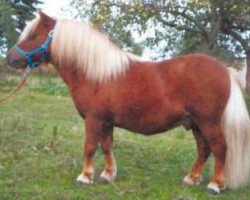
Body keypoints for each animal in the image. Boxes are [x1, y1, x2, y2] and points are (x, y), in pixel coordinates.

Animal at [5, 11, 250, 195]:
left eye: (33, 34)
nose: (9, 58)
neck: (95, 73)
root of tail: (225, 70)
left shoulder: (93, 119)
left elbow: (90, 147)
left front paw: (85, 177)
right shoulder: (105, 122)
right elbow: (106, 146)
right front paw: (107, 175)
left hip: (208, 122)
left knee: (219, 149)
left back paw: (214, 185)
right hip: (196, 123)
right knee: (203, 150)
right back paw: (191, 179)